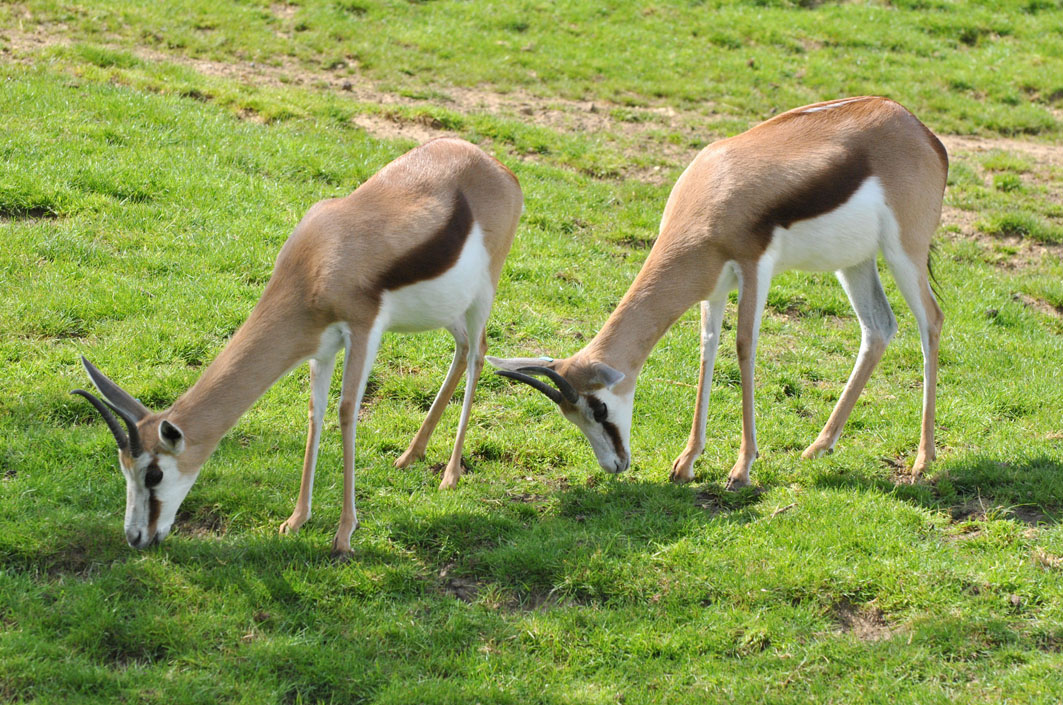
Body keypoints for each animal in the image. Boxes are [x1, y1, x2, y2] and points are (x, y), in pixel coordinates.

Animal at [72, 137, 523, 555]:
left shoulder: (363, 331)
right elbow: (314, 413)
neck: (316, 262)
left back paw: (450, 475)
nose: (136, 537)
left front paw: (344, 535)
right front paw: (296, 520)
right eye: (124, 469)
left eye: (154, 474)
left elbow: (346, 412)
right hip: (448, 309)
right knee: (462, 351)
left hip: (481, 296)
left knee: (479, 354)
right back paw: (410, 456)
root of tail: (494, 165)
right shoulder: (322, 347)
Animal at [490, 97, 947, 490]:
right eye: (571, 416)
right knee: (878, 328)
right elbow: (708, 349)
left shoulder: (753, 268)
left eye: (599, 408)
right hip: (855, 261)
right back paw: (818, 447)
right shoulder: (714, 284)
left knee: (931, 320)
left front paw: (741, 469)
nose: (615, 465)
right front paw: (687, 462)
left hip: (903, 252)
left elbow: (745, 347)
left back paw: (923, 460)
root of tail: (921, 130)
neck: (712, 193)